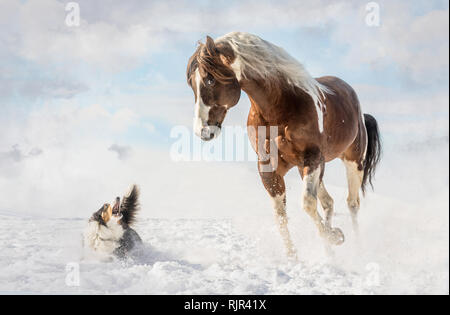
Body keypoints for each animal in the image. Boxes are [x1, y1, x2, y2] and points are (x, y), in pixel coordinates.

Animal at [185, 32, 380, 260]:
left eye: (210, 79)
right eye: (191, 84)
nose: (202, 131)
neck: (280, 107)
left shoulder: (313, 158)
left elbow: (307, 203)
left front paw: (336, 236)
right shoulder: (270, 167)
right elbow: (280, 214)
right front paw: (293, 257)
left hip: (352, 161)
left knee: (352, 203)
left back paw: (357, 250)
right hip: (307, 167)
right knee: (328, 203)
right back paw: (329, 253)